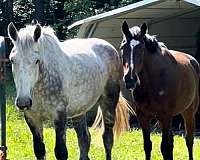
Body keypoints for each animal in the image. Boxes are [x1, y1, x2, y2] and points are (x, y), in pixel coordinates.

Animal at [119, 21, 199, 160]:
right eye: (123, 47)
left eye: (142, 48)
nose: (130, 79)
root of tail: (192, 61)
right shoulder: (143, 116)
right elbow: (148, 145)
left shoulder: (165, 116)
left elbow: (165, 147)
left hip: (188, 112)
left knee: (189, 140)